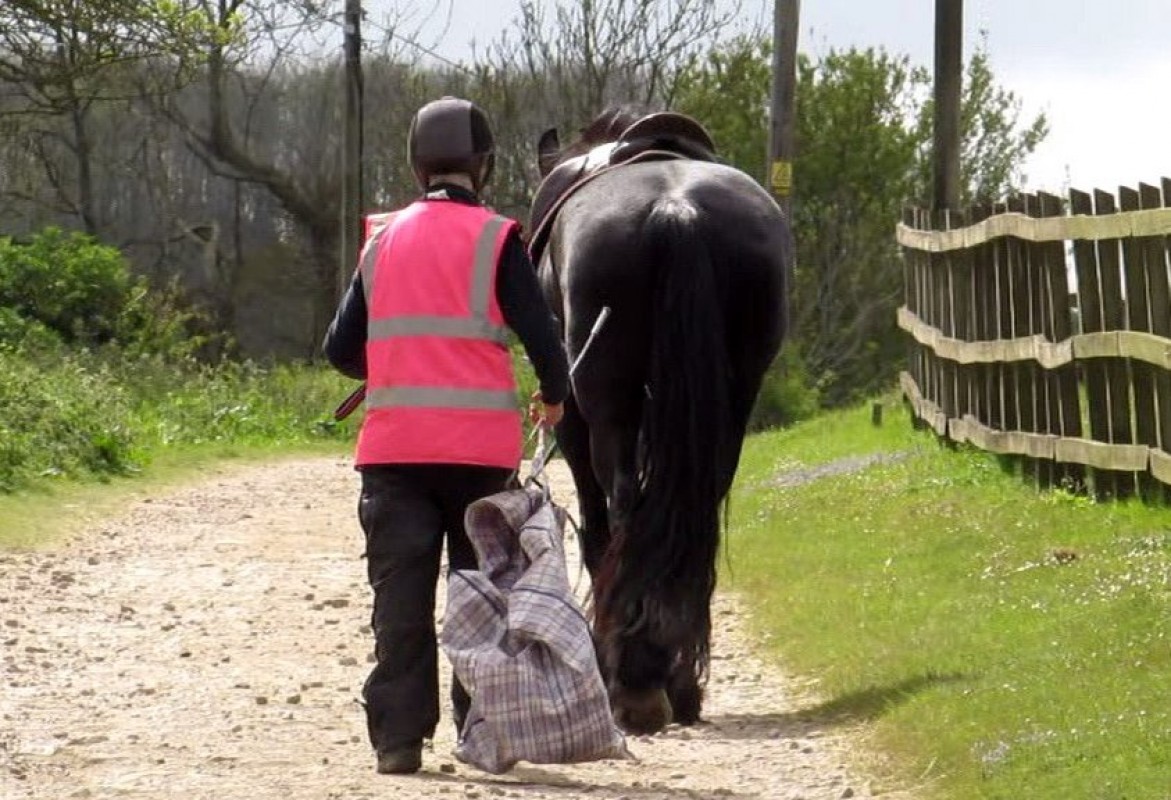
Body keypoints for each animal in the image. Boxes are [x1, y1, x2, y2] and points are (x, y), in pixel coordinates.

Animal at [533, 107, 791, 740]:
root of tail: (678, 212)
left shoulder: (574, 420)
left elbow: (598, 527)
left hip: (606, 405)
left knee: (624, 507)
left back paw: (633, 682)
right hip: (731, 399)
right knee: (695, 508)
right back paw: (674, 679)